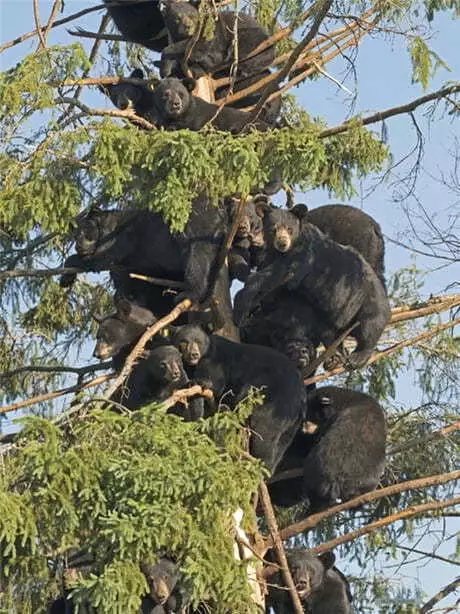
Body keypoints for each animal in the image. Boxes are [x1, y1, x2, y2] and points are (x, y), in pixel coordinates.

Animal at [59, 200, 237, 340]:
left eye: (87, 231)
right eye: (75, 234)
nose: (78, 244)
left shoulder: (123, 238)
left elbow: (104, 258)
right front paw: (66, 279)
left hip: (196, 229)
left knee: (197, 257)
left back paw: (190, 294)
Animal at [172, 324, 306, 474]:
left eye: (198, 341)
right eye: (184, 342)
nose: (193, 354)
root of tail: (301, 393)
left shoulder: (215, 361)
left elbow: (215, 382)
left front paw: (199, 382)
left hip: (273, 400)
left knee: (265, 432)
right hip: (292, 422)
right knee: (282, 444)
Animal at [232, 205, 390, 368]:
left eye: (289, 229)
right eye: (273, 229)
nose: (282, 243)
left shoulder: (304, 256)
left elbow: (277, 276)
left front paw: (241, 308)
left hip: (364, 297)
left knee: (371, 324)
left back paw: (357, 356)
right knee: (330, 333)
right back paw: (335, 356)